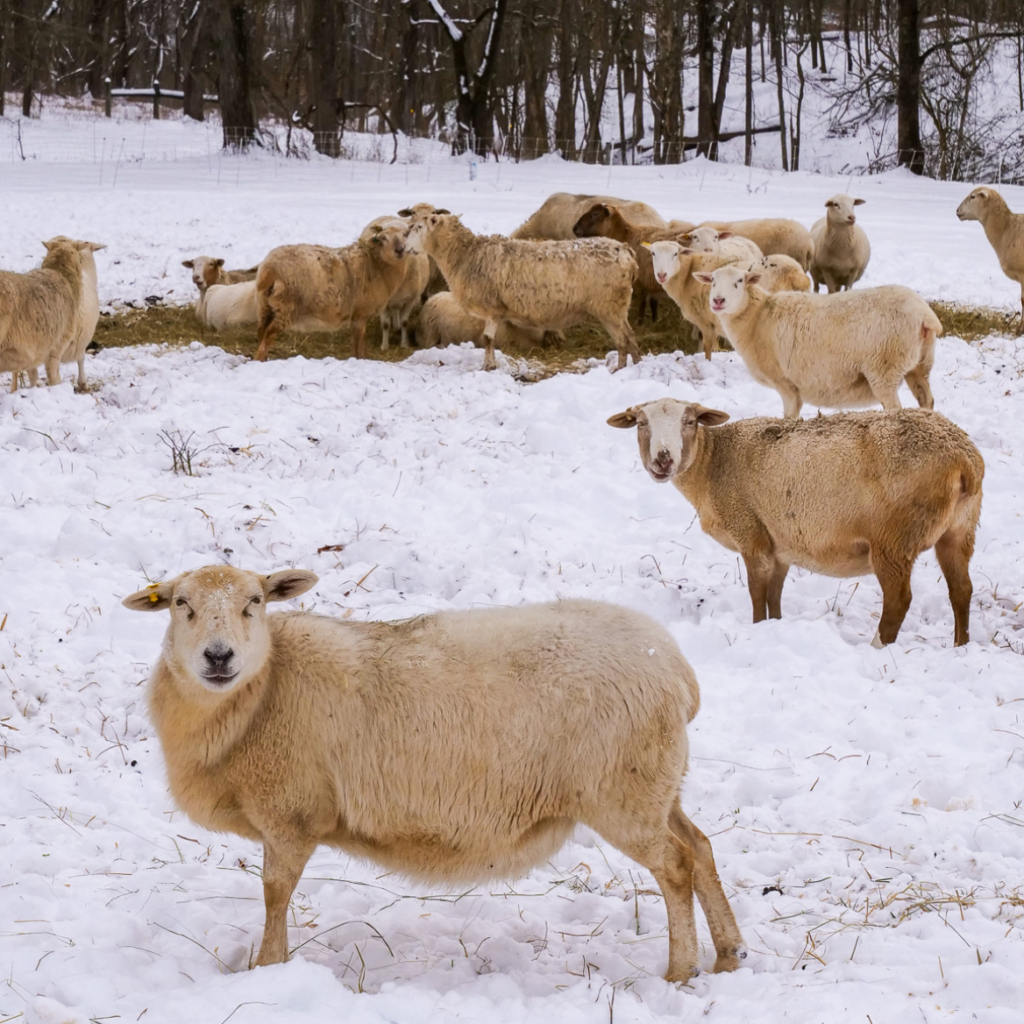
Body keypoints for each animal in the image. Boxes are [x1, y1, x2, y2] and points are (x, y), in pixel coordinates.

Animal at [122, 564, 746, 979]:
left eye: (255, 600)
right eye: (181, 603)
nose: (218, 657)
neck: (265, 686)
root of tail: (676, 670)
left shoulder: (290, 812)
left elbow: (275, 892)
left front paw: (267, 967)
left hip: (623, 790)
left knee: (675, 865)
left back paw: (680, 971)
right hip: (658, 784)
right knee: (701, 846)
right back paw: (729, 955)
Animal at [253, 219, 412, 362]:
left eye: (406, 234)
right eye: (384, 237)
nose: (400, 251)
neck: (376, 262)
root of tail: (269, 268)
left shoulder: (355, 314)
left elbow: (355, 340)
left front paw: (355, 357)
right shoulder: (361, 312)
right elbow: (360, 340)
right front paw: (362, 359)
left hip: (265, 305)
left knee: (261, 331)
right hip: (286, 306)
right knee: (269, 335)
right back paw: (260, 360)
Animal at [608, 399, 983, 647]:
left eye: (689, 421)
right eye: (641, 423)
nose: (663, 459)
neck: (714, 462)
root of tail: (964, 460)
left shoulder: (750, 532)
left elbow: (757, 594)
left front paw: (757, 630)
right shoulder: (780, 544)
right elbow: (774, 596)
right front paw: (775, 627)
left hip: (894, 537)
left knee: (899, 600)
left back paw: (878, 647)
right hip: (960, 530)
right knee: (961, 590)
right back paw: (960, 646)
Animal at [694, 263, 941, 417]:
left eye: (739, 281)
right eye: (712, 280)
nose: (718, 301)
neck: (757, 317)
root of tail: (925, 315)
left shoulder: (785, 382)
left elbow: (790, 415)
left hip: (884, 368)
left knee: (894, 408)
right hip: (919, 365)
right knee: (927, 401)